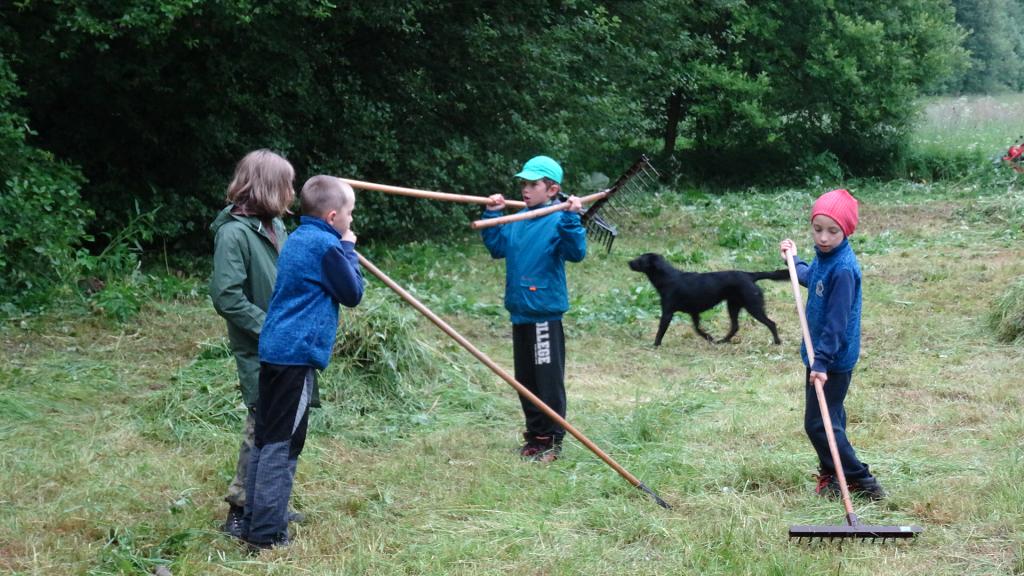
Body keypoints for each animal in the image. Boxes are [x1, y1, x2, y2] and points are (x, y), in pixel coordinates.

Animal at [626, 252, 786, 344]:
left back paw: (777, 342)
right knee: (735, 326)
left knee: (771, 323)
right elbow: (697, 329)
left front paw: (655, 345)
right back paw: (722, 341)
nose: (628, 262)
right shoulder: (694, 313)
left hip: (753, 306)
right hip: (733, 305)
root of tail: (750, 275)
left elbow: (660, 331)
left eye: (640, 260)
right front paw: (709, 337)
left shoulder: (667, 313)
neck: (668, 278)